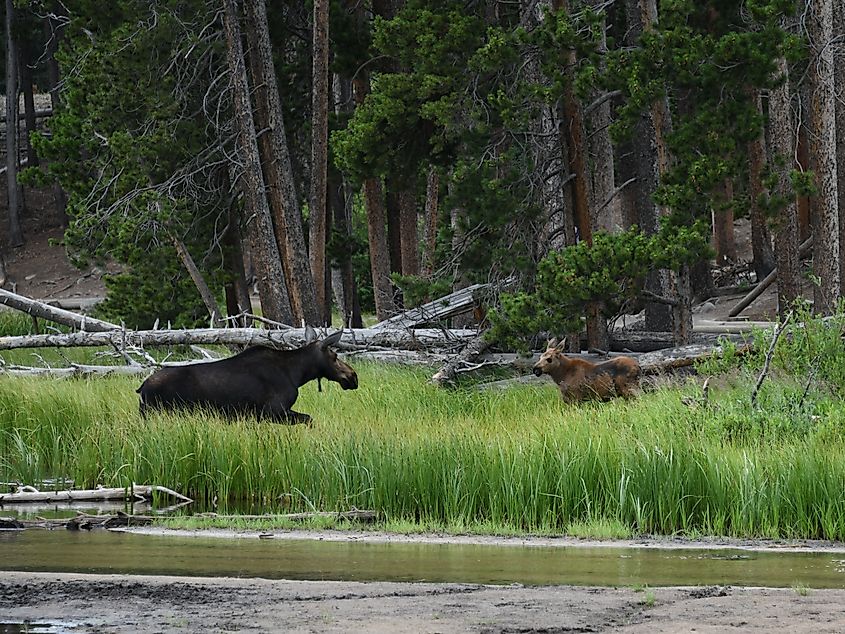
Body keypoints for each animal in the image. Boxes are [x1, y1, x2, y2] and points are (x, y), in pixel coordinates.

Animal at [136, 329, 358, 425]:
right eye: (335, 356)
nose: (353, 377)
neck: (297, 374)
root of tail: (141, 388)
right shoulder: (273, 412)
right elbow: (309, 419)